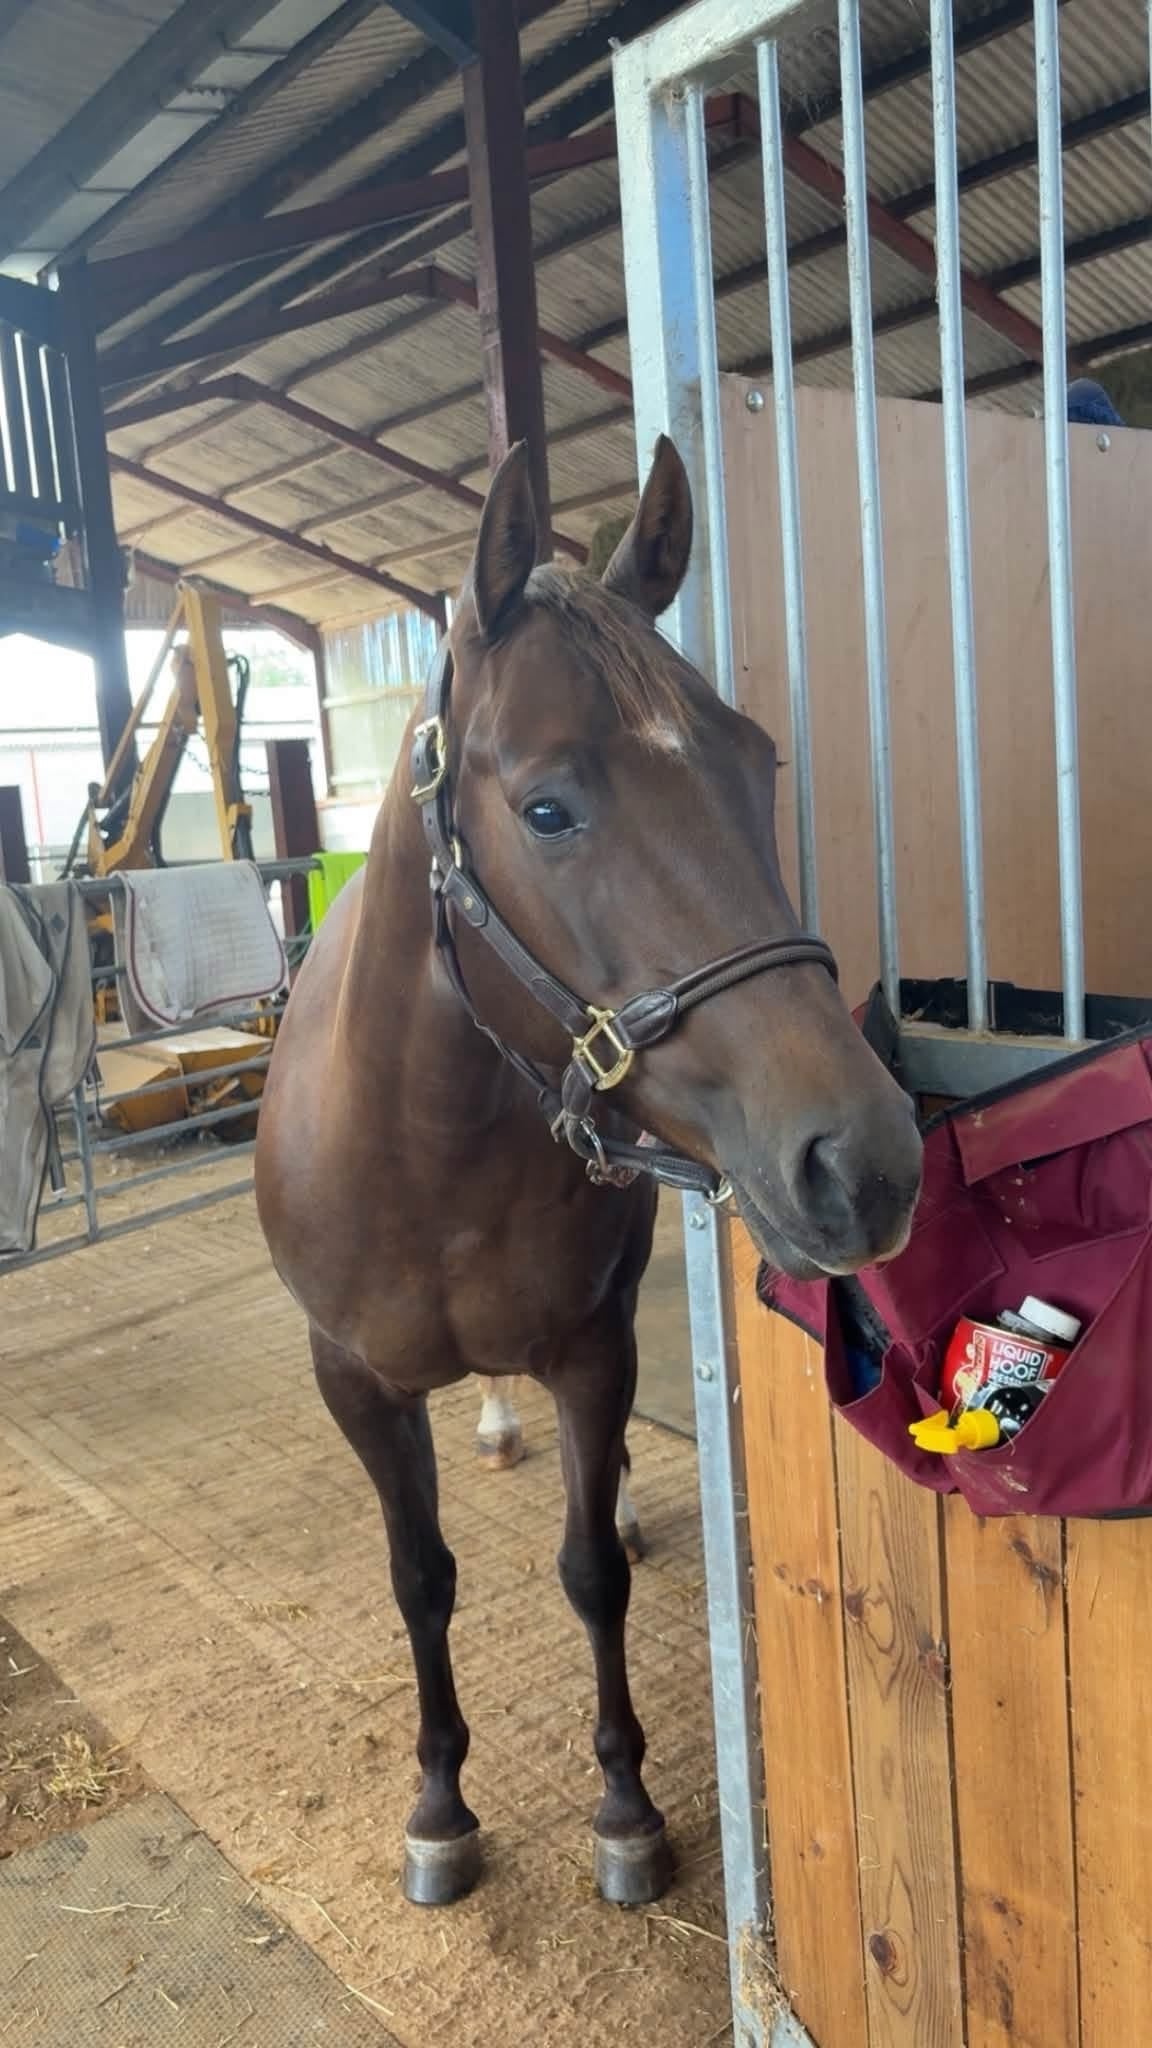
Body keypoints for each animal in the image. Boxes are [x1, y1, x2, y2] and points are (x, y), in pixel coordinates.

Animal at [255, 435, 922, 1911]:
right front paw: (441, 1806)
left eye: (755, 759)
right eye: (548, 808)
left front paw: (624, 1806)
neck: (425, 1151)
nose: (867, 1159)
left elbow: (589, 1571)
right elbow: (420, 1576)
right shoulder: (350, 1381)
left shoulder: (592, 1348)